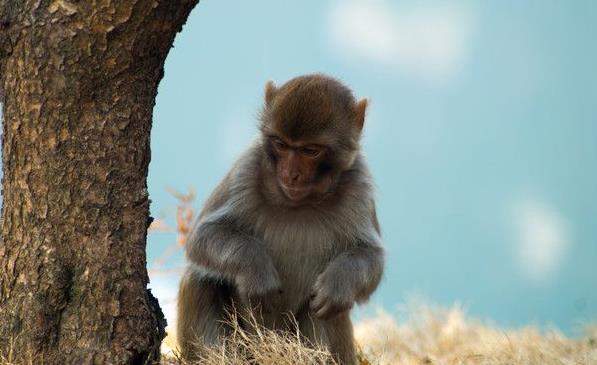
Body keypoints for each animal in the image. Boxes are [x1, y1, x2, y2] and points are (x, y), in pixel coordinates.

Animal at [175, 72, 384, 362]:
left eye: (310, 150)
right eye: (281, 145)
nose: (289, 174)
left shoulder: (359, 184)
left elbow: (371, 257)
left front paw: (338, 283)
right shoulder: (247, 168)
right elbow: (203, 237)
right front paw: (256, 269)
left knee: (326, 309)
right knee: (200, 279)